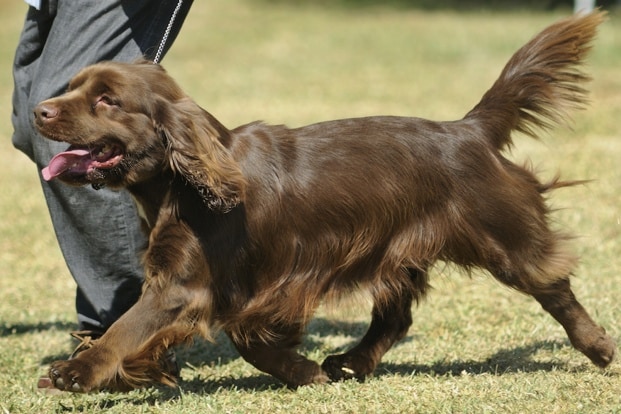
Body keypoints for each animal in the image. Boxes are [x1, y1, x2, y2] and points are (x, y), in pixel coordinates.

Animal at [35, 11, 616, 392]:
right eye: (74, 87)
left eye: (107, 100)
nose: (40, 110)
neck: (183, 185)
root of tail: (469, 129)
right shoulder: (239, 285)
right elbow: (244, 340)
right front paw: (305, 371)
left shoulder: (188, 284)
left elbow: (129, 326)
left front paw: (77, 370)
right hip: (395, 250)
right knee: (396, 317)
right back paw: (352, 363)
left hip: (502, 237)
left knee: (553, 285)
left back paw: (598, 346)